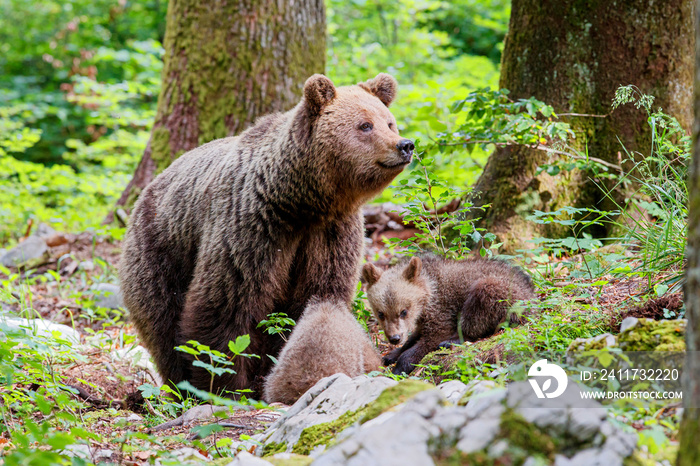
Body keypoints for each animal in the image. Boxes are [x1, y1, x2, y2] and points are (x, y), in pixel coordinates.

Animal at [120, 73, 412, 396]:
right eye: (365, 125)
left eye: (389, 122)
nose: (404, 145)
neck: (301, 201)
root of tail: (148, 189)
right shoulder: (253, 227)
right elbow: (225, 307)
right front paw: (226, 386)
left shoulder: (330, 233)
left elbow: (317, 295)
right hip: (160, 250)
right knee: (163, 322)